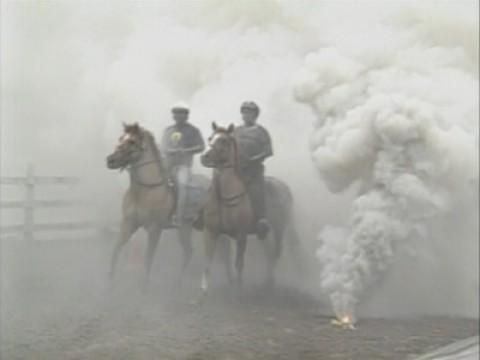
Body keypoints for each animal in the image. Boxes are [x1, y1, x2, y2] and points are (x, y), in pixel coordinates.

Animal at [107, 124, 199, 290]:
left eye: (132, 141)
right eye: (120, 138)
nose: (110, 160)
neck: (146, 190)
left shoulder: (154, 228)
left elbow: (149, 257)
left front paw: (144, 286)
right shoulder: (128, 224)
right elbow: (116, 249)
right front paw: (109, 282)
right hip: (186, 229)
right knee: (189, 251)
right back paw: (178, 282)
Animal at [200, 122, 300, 294]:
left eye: (224, 141)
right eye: (210, 138)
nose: (204, 157)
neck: (226, 197)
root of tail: (284, 187)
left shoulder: (241, 235)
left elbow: (239, 264)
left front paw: (238, 289)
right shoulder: (211, 231)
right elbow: (207, 262)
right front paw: (202, 293)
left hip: (279, 228)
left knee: (275, 253)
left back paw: (269, 283)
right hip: (264, 235)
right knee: (269, 253)